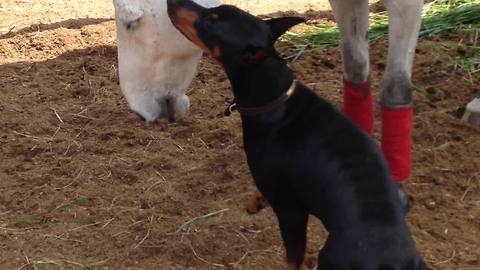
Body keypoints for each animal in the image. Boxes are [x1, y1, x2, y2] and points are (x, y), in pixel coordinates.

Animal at [167, 1, 426, 268]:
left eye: (212, 21)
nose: (173, 2)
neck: (278, 100)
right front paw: (255, 201)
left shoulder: (290, 211)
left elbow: (293, 258)